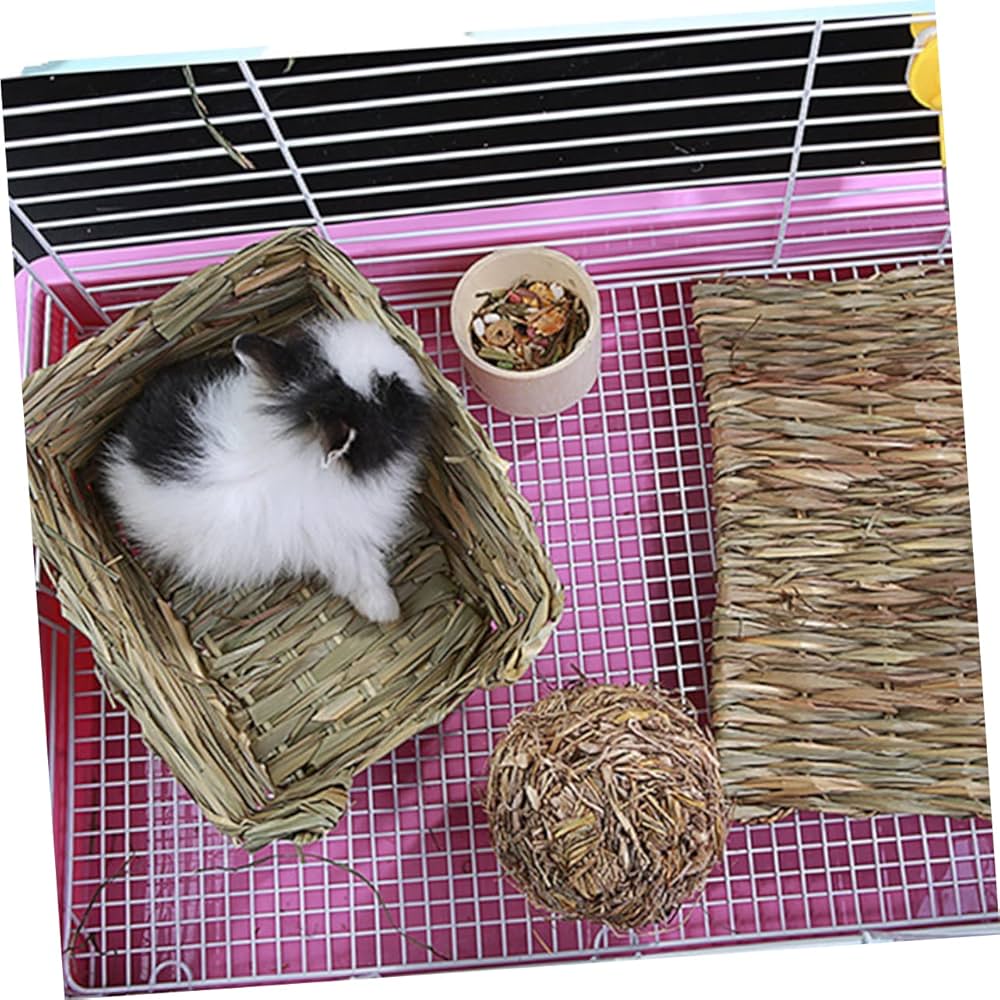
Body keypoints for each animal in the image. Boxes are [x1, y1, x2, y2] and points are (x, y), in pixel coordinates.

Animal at [99, 315, 432, 624]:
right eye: (387, 391)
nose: (406, 358)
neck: (296, 444)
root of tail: (120, 454)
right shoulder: (343, 542)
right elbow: (363, 575)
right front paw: (387, 612)